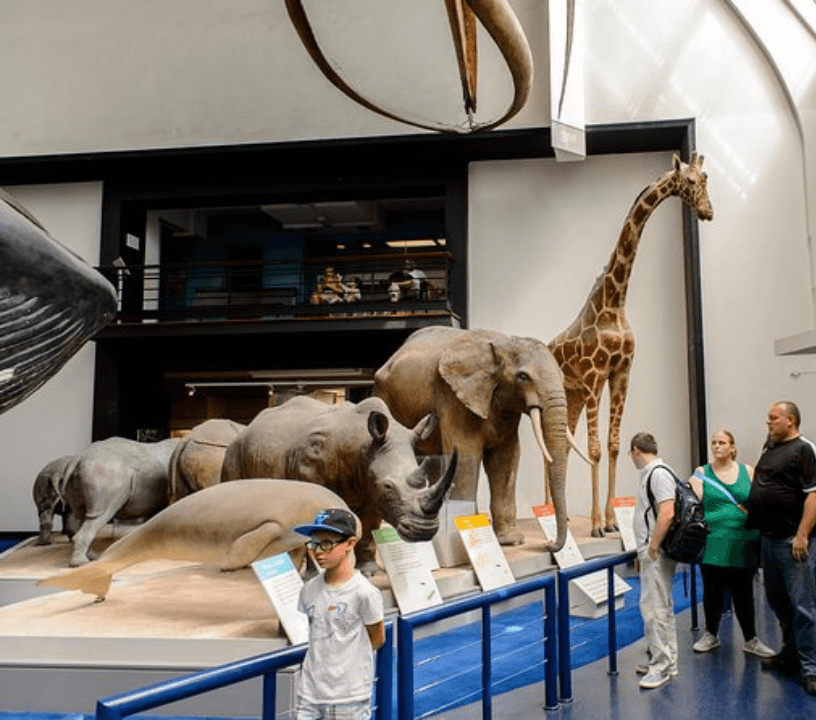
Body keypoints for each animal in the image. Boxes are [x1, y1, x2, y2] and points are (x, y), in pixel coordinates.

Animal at [63, 436, 181, 564]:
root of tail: (80, 457)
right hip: (105, 472)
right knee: (101, 514)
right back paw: (81, 563)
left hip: (85, 475)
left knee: (83, 516)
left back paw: (92, 557)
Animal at [220, 394, 456, 572]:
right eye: (388, 486)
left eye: (427, 481)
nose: (424, 530)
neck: (363, 447)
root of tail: (248, 425)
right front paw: (314, 575)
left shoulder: (371, 493)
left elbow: (368, 531)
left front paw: (370, 571)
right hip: (233, 450)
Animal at [372, 324, 588, 552]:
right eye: (523, 377)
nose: (548, 544)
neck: (505, 343)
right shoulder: (453, 397)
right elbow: (466, 456)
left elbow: (506, 458)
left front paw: (511, 541)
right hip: (383, 397)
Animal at [548, 153, 712, 536]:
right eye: (690, 181)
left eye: (707, 178)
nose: (708, 212)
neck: (614, 303)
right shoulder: (594, 376)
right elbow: (594, 448)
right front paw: (595, 524)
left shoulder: (621, 372)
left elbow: (613, 444)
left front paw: (610, 521)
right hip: (563, 392)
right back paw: (545, 514)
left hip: (571, 395)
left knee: (563, 444)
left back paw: (558, 515)